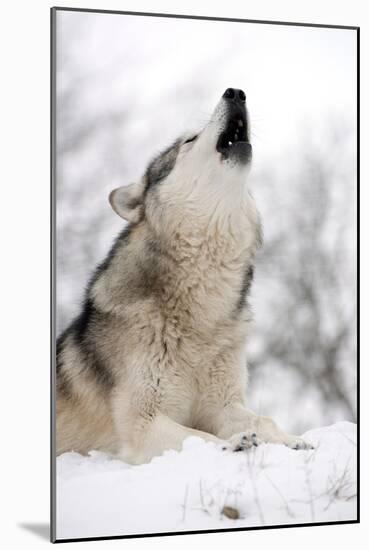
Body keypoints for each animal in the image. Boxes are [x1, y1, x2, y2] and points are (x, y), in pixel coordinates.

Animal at [56, 87, 312, 466]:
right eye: (189, 140)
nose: (235, 92)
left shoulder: (223, 404)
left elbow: (263, 420)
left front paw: (293, 441)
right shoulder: (143, 423)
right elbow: (199, 437)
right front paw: (234, 443)